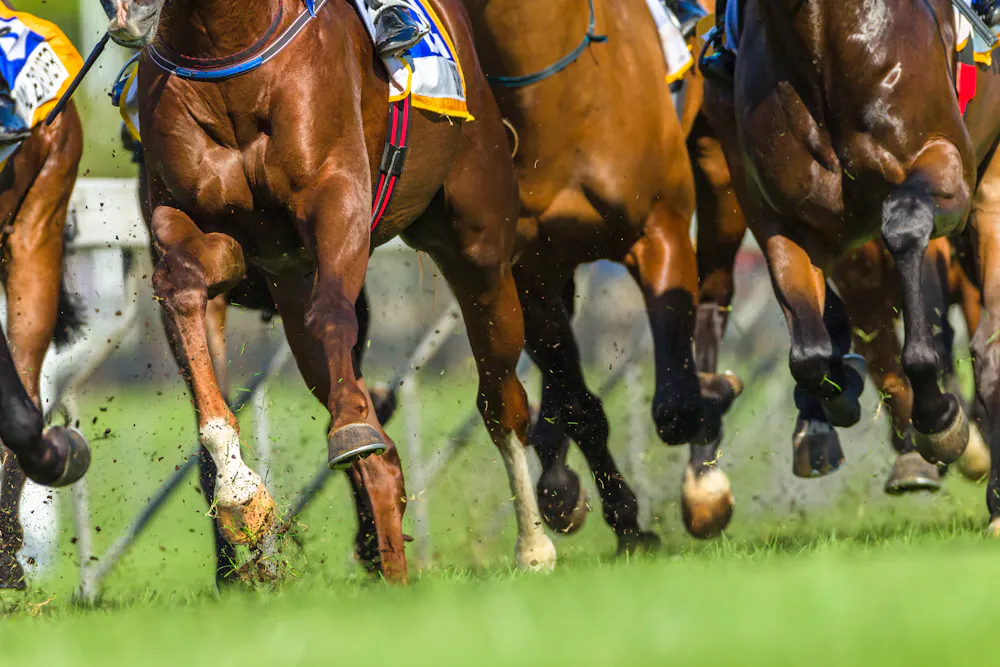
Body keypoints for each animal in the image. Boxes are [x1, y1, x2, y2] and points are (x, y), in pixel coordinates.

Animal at [103, 0, 558, 580]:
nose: (130, 14)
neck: (224, 50)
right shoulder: (201, 225)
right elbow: (182, 287)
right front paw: (237, 486)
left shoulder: (338, 195)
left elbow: (334, 312)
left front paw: (350, 428)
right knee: (385, 461)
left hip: (478, 243)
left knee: (501, 398)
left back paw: (533, 544)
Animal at [464, 0, 743, 546]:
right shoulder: (527, 267)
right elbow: (579, 405)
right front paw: (621, 517)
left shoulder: (660, 229)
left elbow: (675, 406)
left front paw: (713, 400)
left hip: (720, 163)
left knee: (714, 292)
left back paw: (705, 477)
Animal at [702, 0, 1000, 518]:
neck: (823, 40)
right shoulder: (781, 218)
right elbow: (809, 351)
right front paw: (837, 391)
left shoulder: (945, 163)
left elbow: (905, 226)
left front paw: (939, 416)